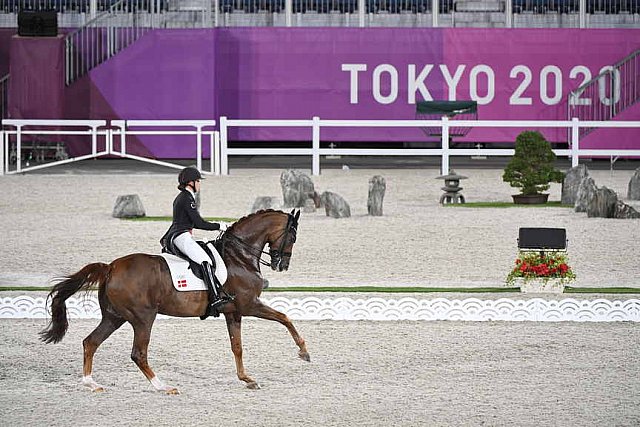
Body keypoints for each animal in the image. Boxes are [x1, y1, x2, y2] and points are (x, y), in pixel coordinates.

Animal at [40, 208, 310, 394]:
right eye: (293, 237)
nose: (282, 265)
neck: (239, 256)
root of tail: (111, 267)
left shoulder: (233, 312)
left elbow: (237, 347)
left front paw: (247, 379)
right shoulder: (249, 304)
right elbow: (285, 317)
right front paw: (304, 352)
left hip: (114, 317)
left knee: (90, 342)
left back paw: (91, 383)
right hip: (143, 318)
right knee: (138, 353)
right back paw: (163, 386)